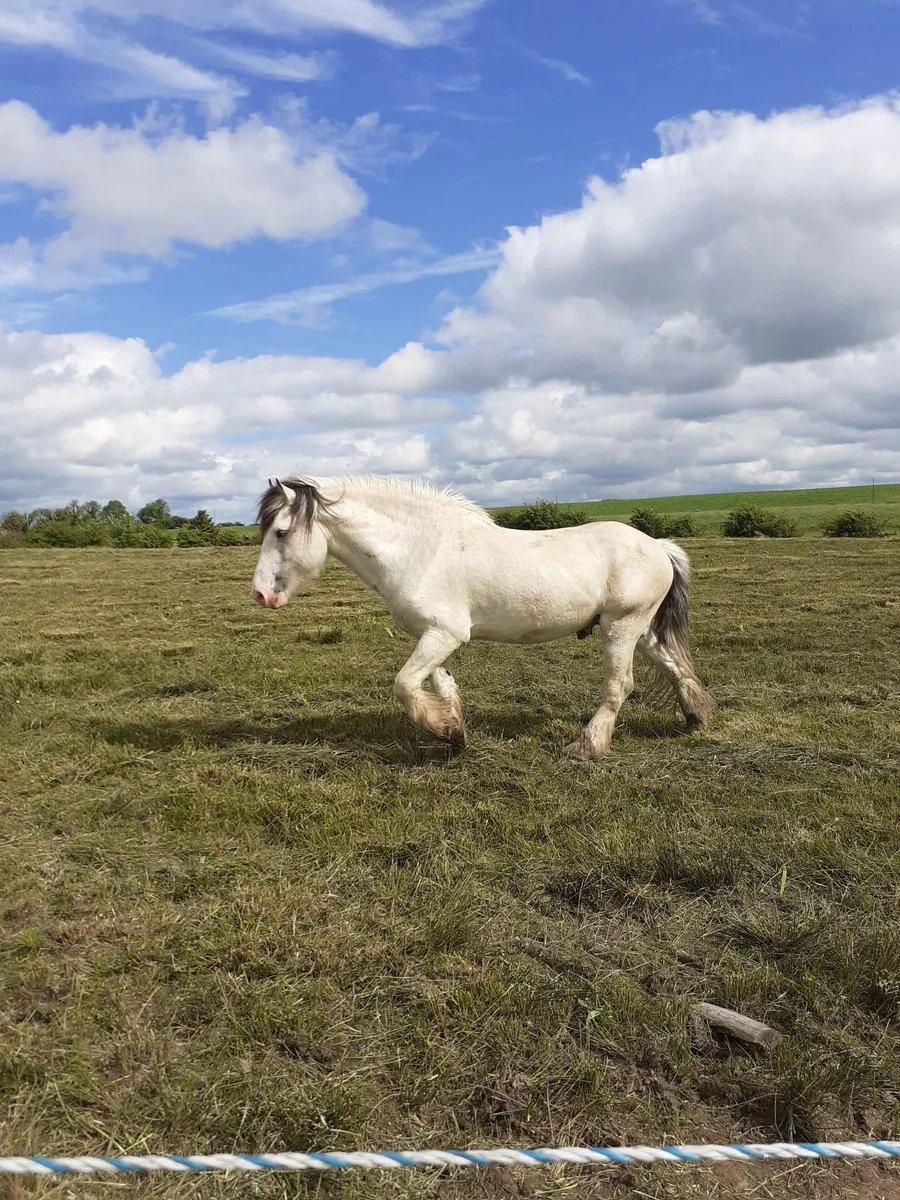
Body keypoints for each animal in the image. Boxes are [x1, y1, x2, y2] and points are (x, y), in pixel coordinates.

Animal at [250, 475, 713, 760]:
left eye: (282, 532)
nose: (260, 594)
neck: (420, 549)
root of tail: (658, 546)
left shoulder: (442, 635)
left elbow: (404, 686)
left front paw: (439, 728)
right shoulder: (438, 639)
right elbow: (442, 687)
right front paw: (452, 735)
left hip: (621, 628)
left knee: (620, 686)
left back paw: (586, 747)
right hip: (641, 631)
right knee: (674, 668)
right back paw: (696, 720)